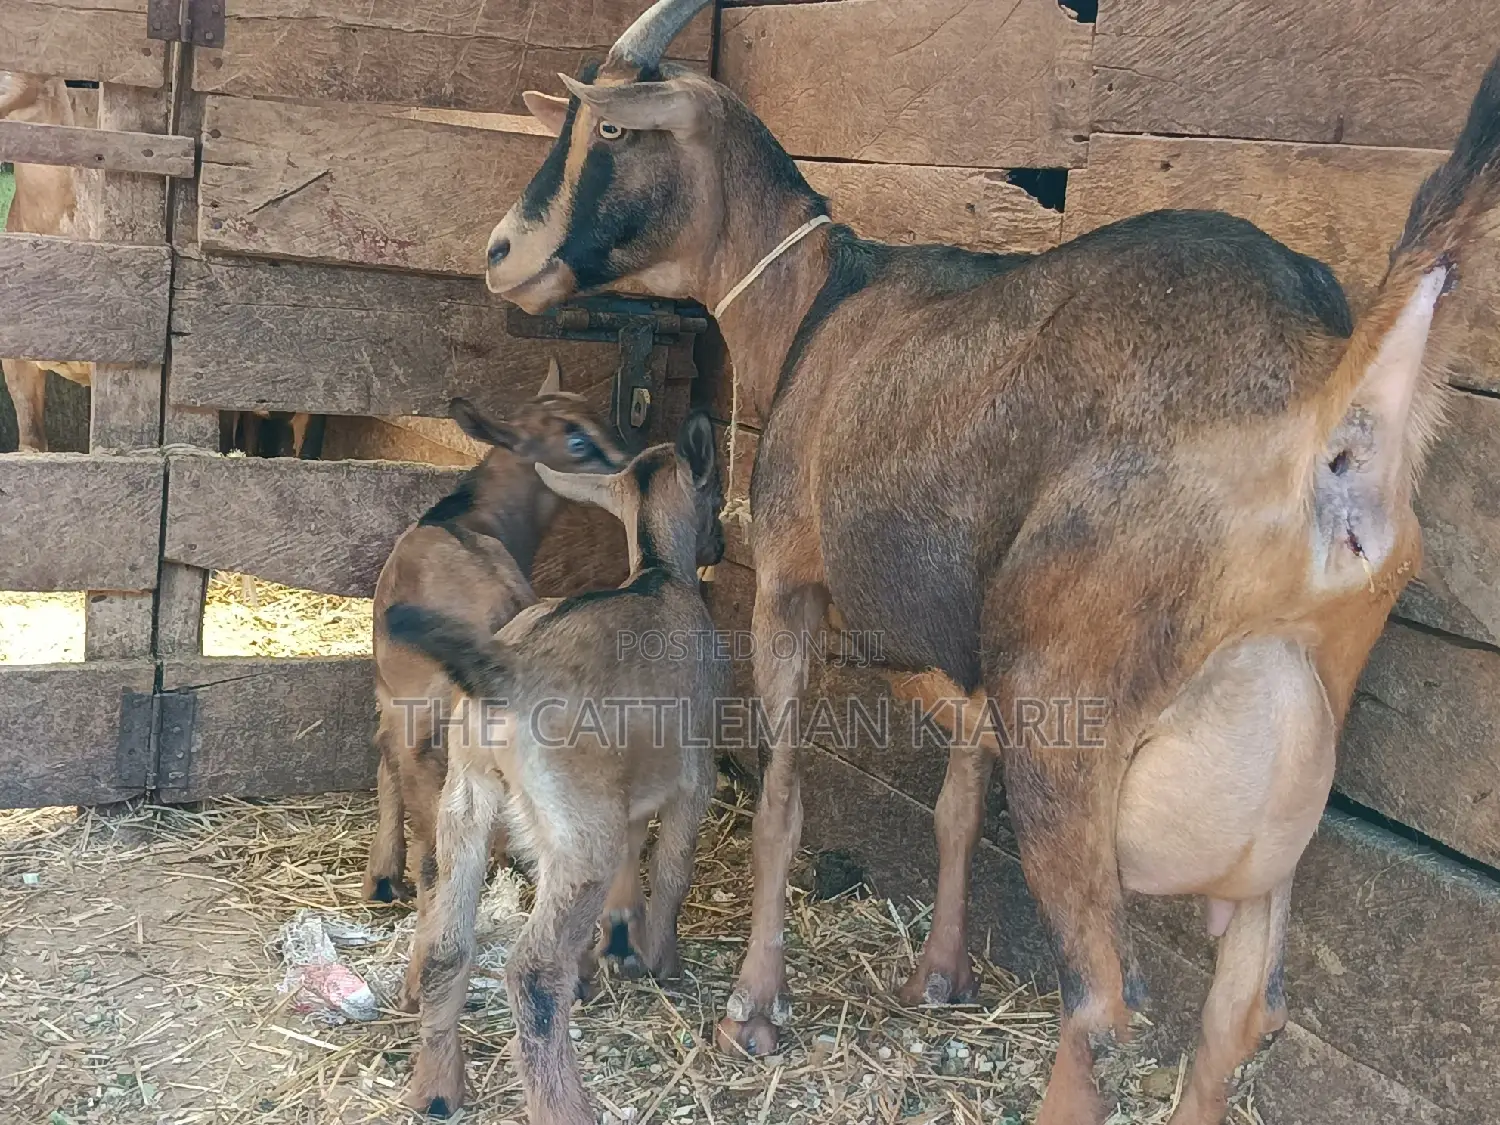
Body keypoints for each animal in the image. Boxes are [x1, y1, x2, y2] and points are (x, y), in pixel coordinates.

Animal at [364, 359, 629, 911]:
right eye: (577, 439)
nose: (629, 464)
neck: (470, 517)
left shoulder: (392, 693)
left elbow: (386, 762)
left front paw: (384, 873)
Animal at [383, 409, 728, 1120]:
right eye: (718, 496)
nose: (722, 544)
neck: (660, 574)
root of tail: (511, 674)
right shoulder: (693, 775)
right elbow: (673, 869)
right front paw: (662, 961)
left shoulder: (623, 792)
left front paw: (610, 953)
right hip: (575, 831)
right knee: (533, 973)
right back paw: (563, 1105)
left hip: (469, 799)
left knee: (448, 941)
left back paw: (437, 1086)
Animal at [480, 3, 1500, 1120]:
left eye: (611, 129)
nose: (501, 252)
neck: (819, 302)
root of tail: (1329, 400)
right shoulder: (967, 663)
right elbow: (957, 807)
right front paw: (940, 974)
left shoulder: (790, 582)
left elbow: (783, 802)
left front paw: (751, 1008)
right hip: (1293, 743)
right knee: (1243, 1013)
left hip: (1064, 713)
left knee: (1102, 1003)